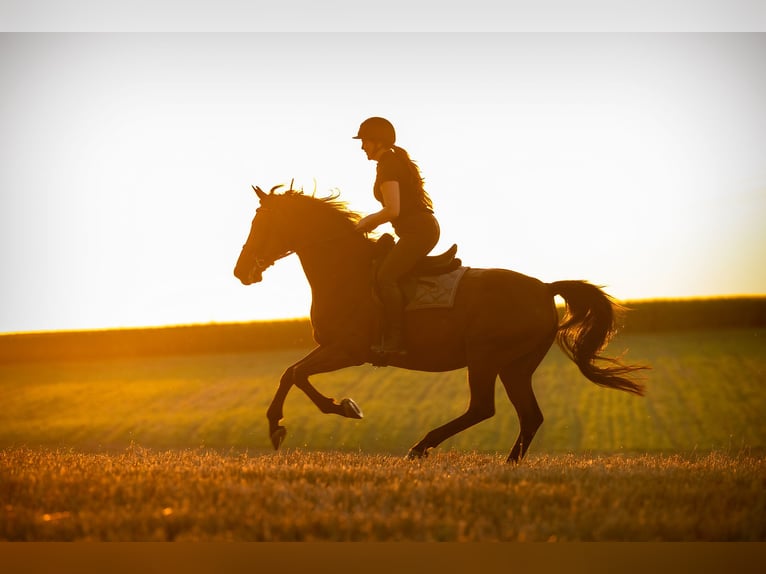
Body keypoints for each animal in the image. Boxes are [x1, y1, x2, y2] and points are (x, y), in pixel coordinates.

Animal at [234, 184, 648, 464]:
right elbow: (292, 373)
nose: (241, 271)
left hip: (485, 357)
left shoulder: (348, 350)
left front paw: (332, 411)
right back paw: (508, 464)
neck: (344, 270)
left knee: (483, 408)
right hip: (516, 366)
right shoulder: (331, 347)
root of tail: (546, 288)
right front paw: (285, 422)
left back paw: (420, 447)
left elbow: (296, 375)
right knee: (529, 415)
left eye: (262, 222)